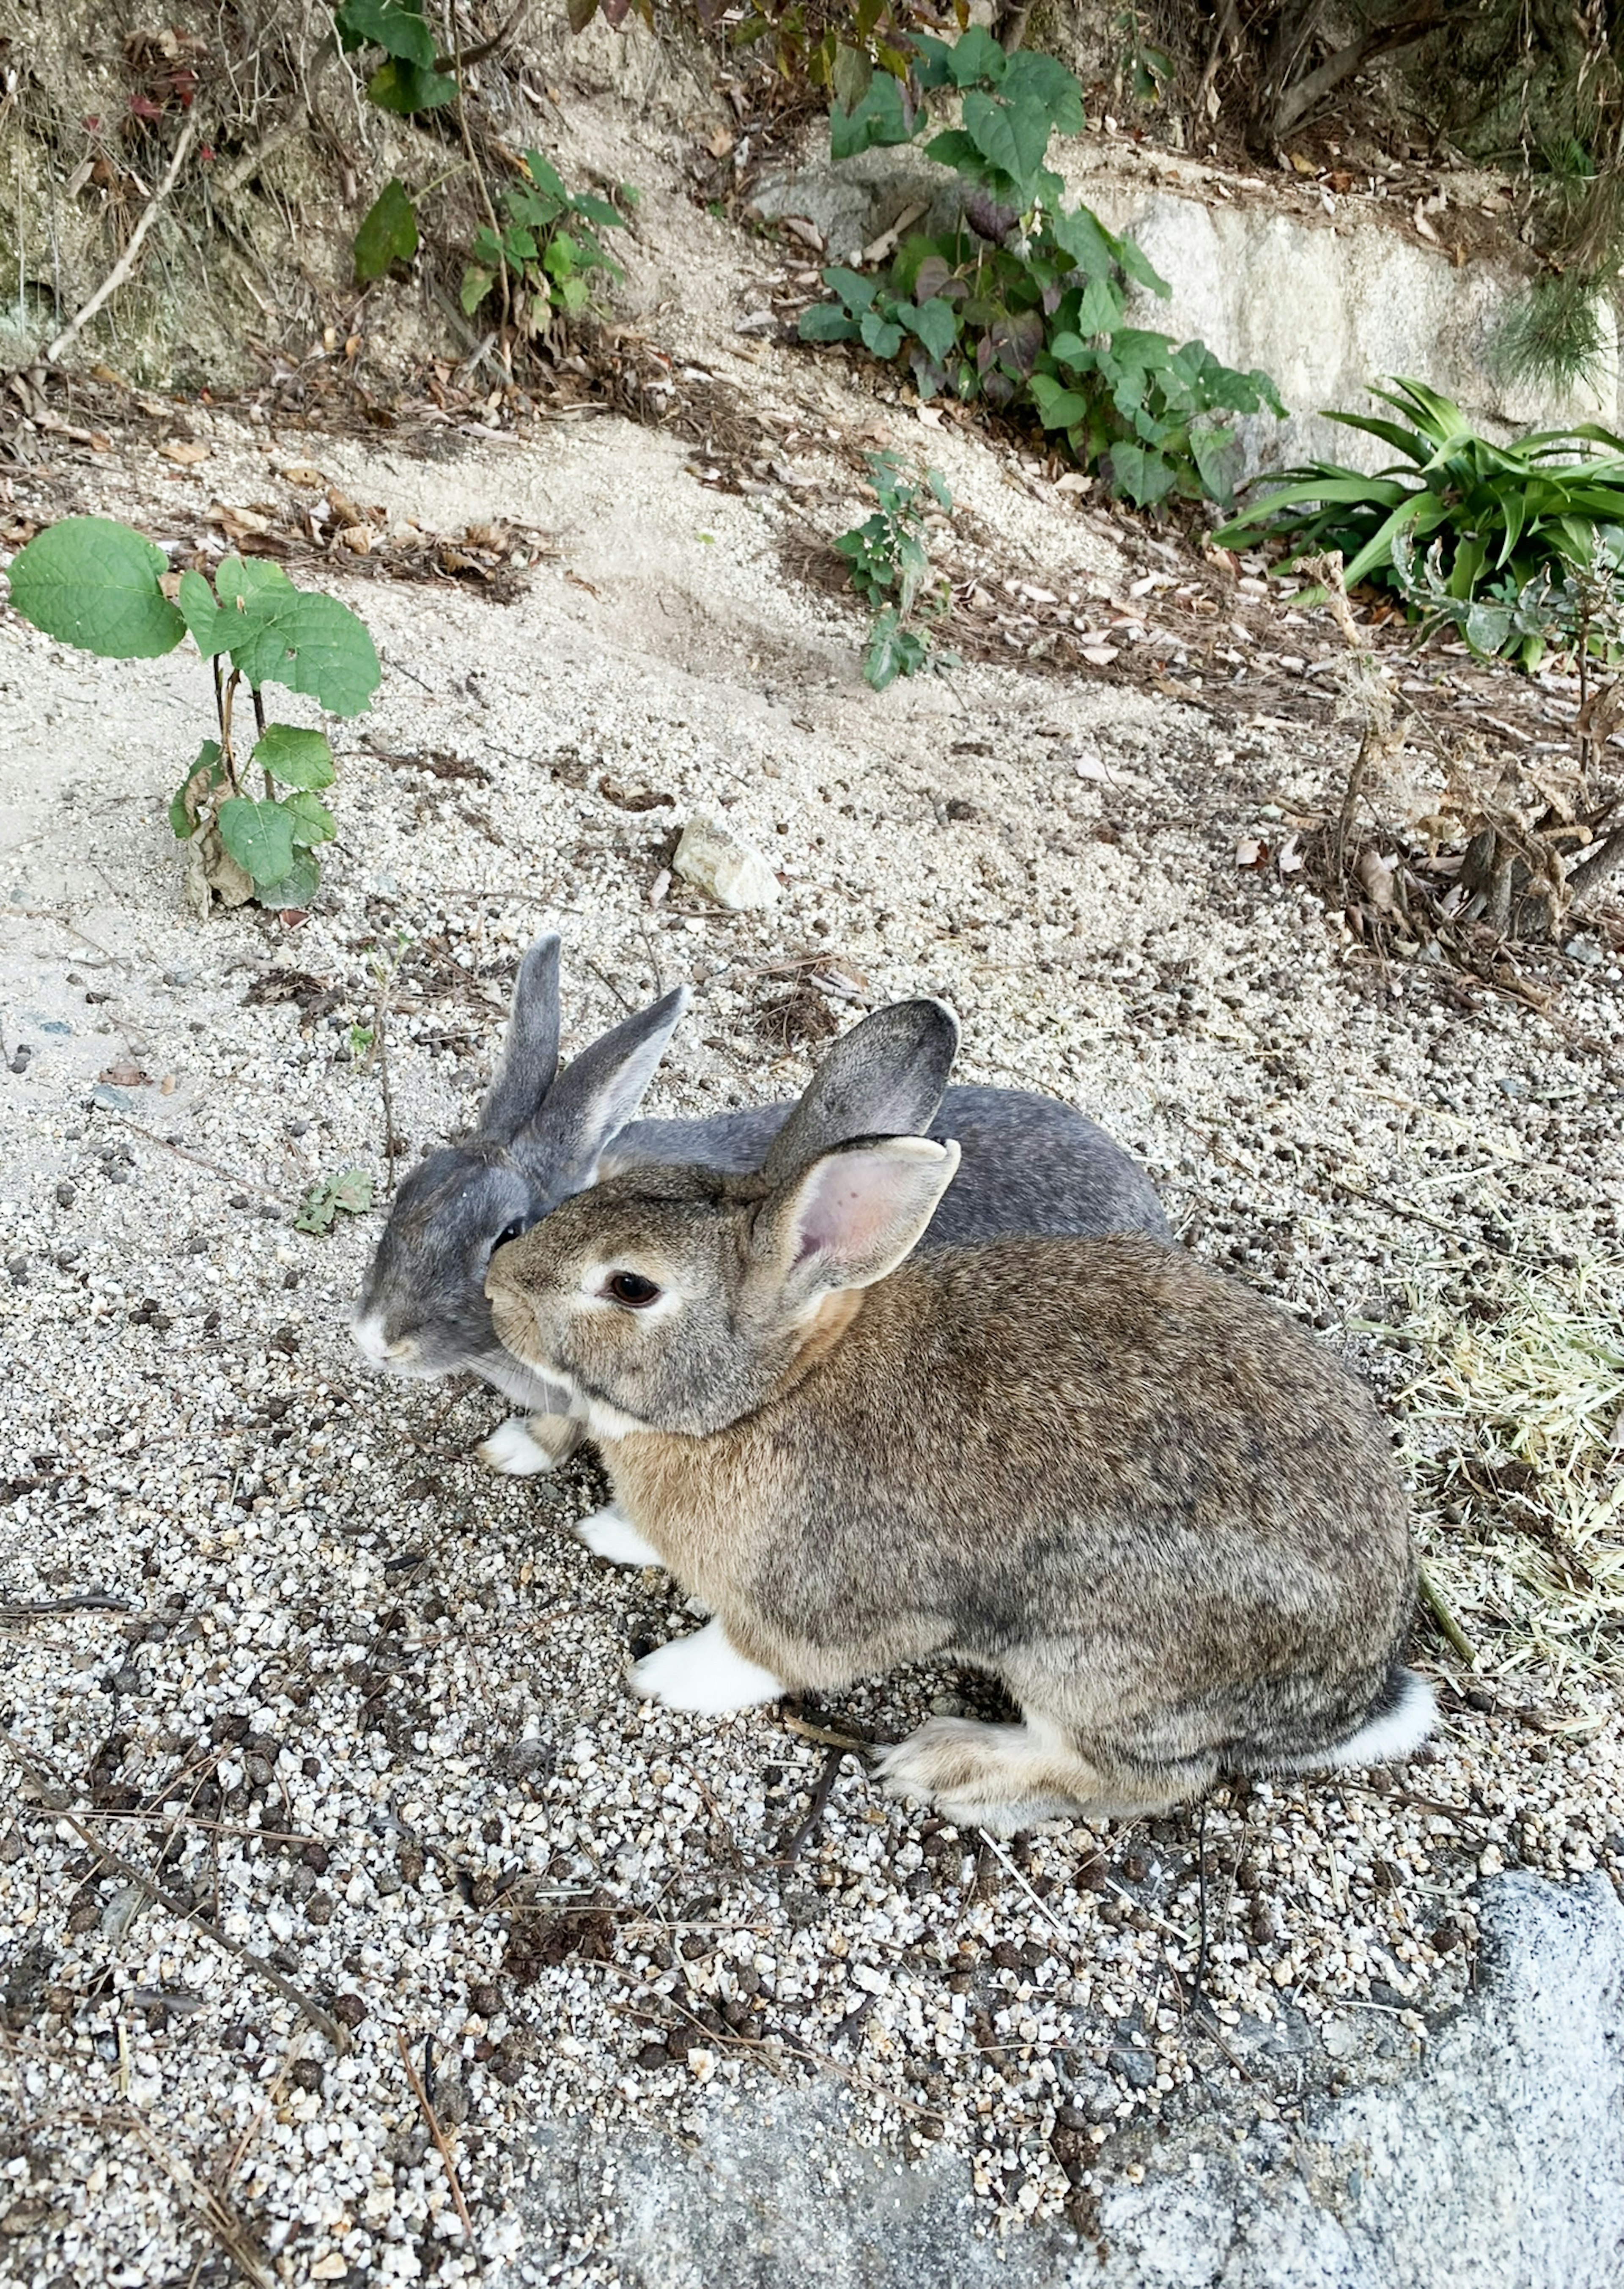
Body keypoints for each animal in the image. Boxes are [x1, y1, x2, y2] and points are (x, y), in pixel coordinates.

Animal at [487, 1043, 1436, 1840]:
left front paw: (664, 1677)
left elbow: (755, 1655)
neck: (767, 1394)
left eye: (631, 1287)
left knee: (1146, 1781)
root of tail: (1357, 1694)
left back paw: (951, 1765)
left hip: (1099, 1663)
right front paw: (613, 1533)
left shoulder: (832, 1609)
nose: (495, 1284)